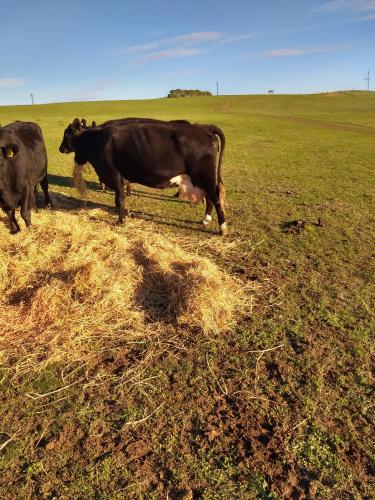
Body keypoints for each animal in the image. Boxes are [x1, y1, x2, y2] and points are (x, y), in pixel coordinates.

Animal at [60, 117, 228, 234]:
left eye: (67, 134)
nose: (60, 148)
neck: (96, 139)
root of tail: (204, 127)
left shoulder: (114, 174)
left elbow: (120, 198)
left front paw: (121, 220)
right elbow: (118, 198)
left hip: (206, 176)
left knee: (215, 197)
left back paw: (222, 228)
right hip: (202, 179)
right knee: (210, 198)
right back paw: (205, 220)